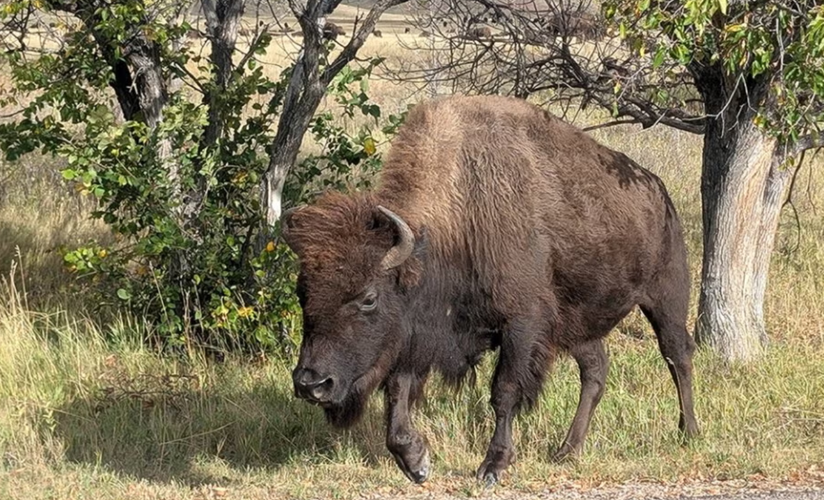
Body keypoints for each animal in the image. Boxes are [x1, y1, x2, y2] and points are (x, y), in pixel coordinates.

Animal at [281, 95, 700, 485]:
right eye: (302, 293)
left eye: (368, 298)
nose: (311, 383)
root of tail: (658, 192)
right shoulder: (420, 333)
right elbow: (398, 391)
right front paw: (416, 462)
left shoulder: (522, 325)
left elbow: (504, 391)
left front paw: (493, 465)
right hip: (574, 325)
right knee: (595, 370)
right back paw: (567, 450)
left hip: (666, 298)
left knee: (677, 355)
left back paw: (688, 432)